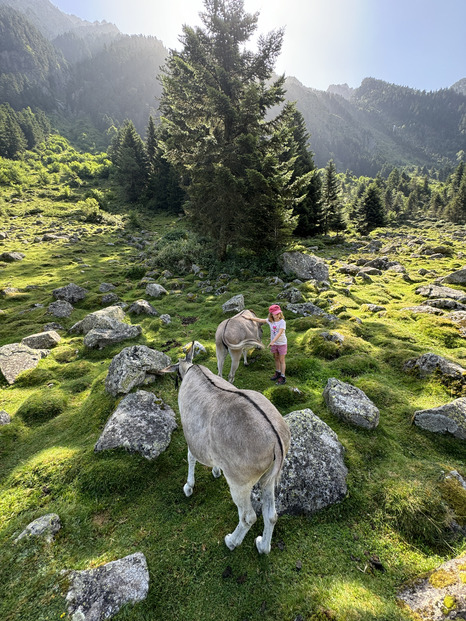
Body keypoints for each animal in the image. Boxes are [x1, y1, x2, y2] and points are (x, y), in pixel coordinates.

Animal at [162, 346, 290, 556]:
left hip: (239, 483)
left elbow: (190, 457)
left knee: (248, 516)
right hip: (268, 479)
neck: (192, 369)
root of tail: (276, 441)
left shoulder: (192, 436)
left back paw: (232, 541)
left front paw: (189, 486)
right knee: (271, 515)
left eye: (177, 374)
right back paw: (262, 546)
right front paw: (215, 471)